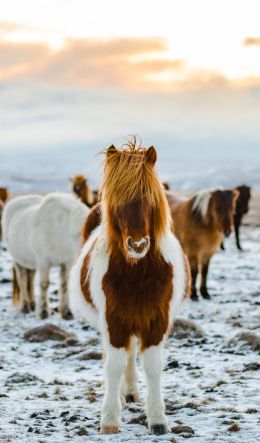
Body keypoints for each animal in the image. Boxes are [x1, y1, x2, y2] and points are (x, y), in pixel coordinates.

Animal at [69, 142, 190, 438]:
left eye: (150, 197)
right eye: (118, 201)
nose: (138, 245)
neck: (137, 274)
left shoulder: (156, 321)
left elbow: (153, 367)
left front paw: (158, 419)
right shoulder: (114, 322)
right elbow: (113, 367)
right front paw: (110, 419)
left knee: (131, 354)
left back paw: (132, 393)